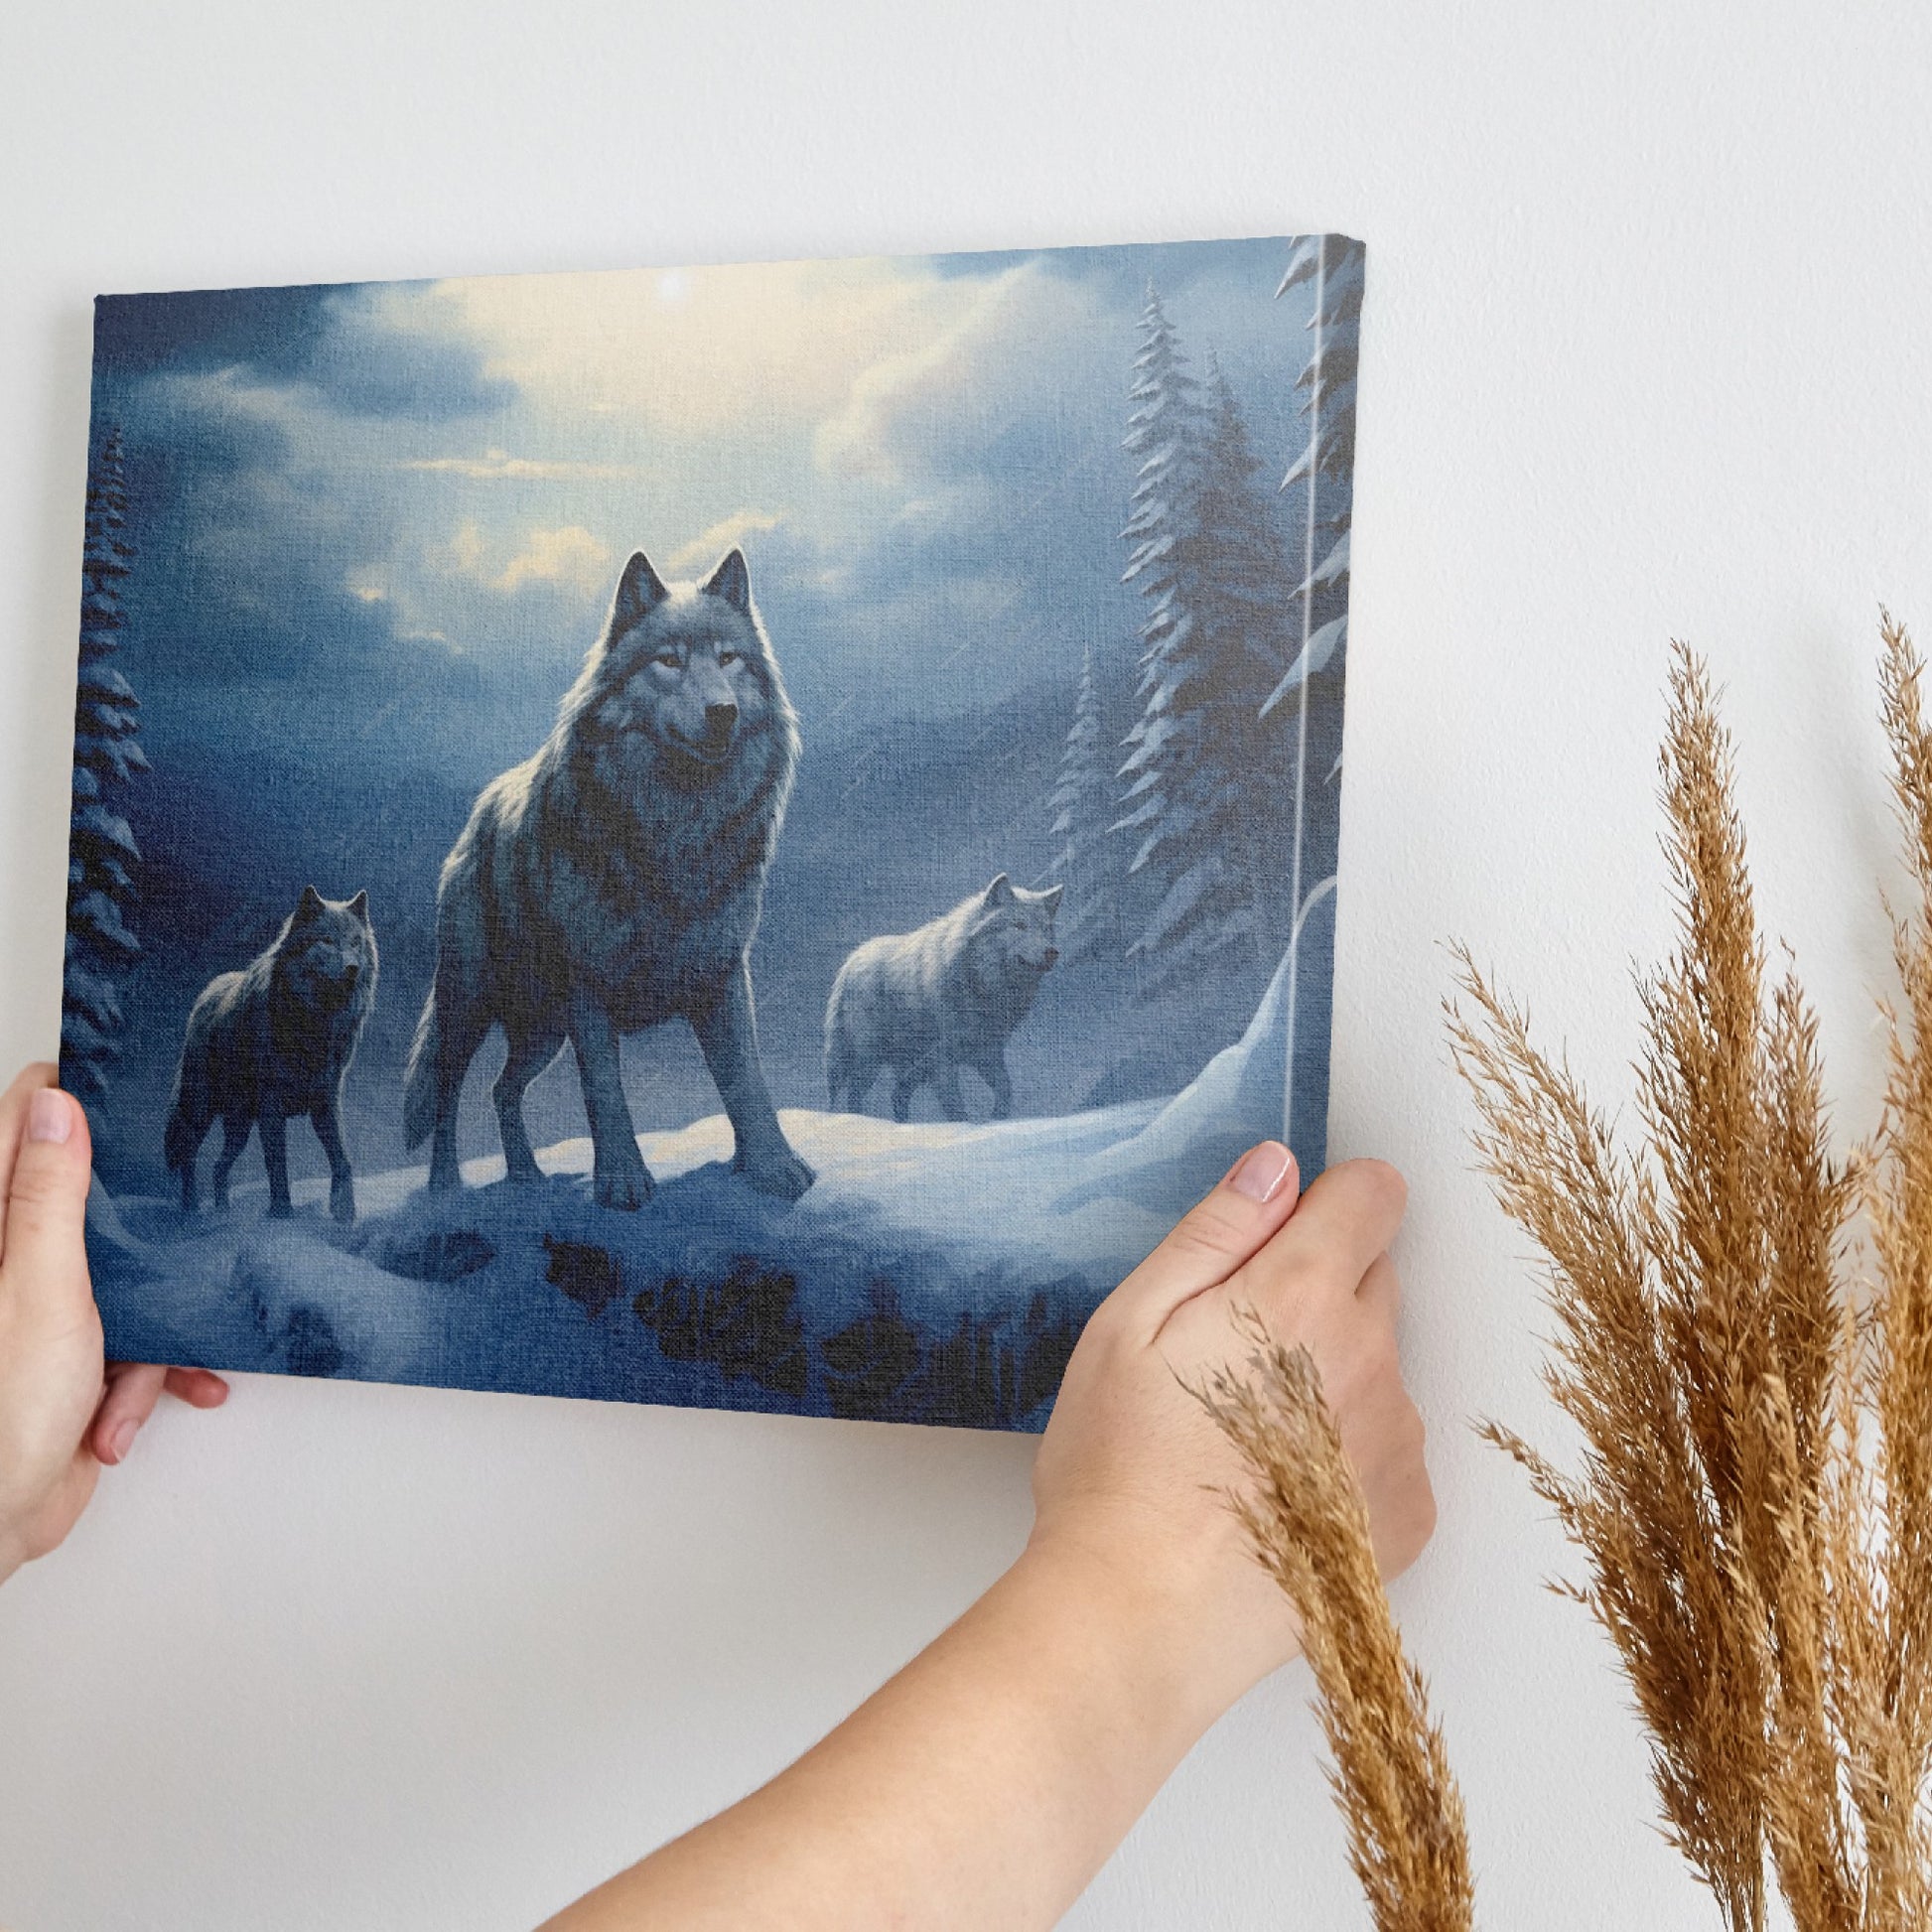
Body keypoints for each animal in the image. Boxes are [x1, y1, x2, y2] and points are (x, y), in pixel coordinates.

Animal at [166, 885, 380, 1220]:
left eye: (355, 942)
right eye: (326, 940)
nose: (352, 969)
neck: (312, 1024)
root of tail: (207, 992)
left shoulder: (326, 1102)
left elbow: (341, 1159)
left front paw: (345, 1212)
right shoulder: (271, 1106)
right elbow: (277, 1163)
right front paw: (282, 1212)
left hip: (239, 1128)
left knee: (218, 1166)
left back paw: (223, 1211)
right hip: (200, 1112)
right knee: (188, 1156)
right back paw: (192, 1212)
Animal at [403, 544, 811, 1205]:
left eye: (728, 658)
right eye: (668, 660)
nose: (722, 712)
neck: (674, 835)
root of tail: (477, 813)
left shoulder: (723, 976)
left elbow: (746, 1082)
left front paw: (774, 1168)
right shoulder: (587, 991)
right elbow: (605, 1095)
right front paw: (622, 1182)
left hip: (541, 1032)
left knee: (501, 1089)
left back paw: (526, 1176)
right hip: (469, 1008)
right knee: (448, 1094)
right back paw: (445, 1188)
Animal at [822, 873, 1066, 1128]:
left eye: (1046, 928)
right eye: (1019, 925)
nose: (1052, 952)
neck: (979, 986)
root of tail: (851, 961)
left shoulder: (987, 1054)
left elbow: (1005, 1090)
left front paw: (997, 1119)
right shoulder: (942, 1062)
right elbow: (956, 1109)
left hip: (910, 1067)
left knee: (897, 1095)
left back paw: (905, 1126)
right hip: (867, 1061)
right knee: (852, 1096)